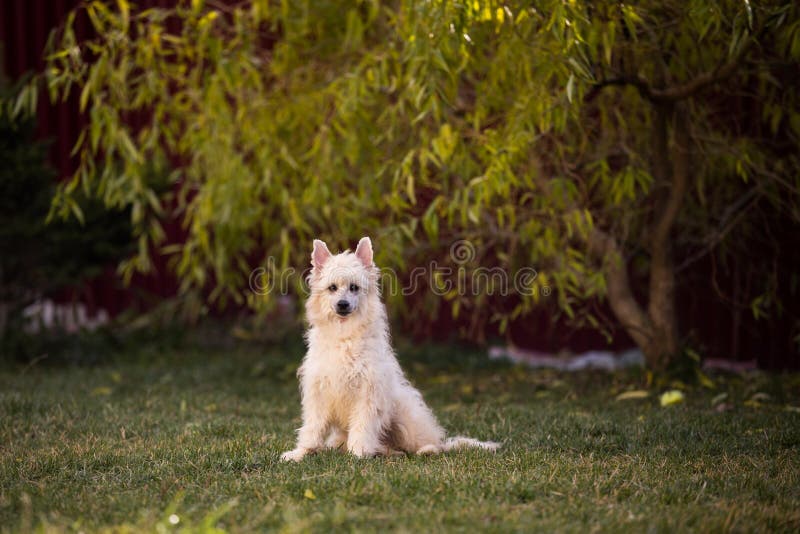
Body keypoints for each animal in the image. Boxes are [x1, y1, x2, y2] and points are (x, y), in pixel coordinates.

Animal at [278, 239, 496, 464]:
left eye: (354, 287)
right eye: (332, 288)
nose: (342, 304)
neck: (344, 336)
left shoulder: (368, 394)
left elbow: (362, 428)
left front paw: (358, 454)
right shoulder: (319, 393)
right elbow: (312, 428)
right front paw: (302, 452)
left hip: (404, 417)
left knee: (428, 444)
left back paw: (423, 450)